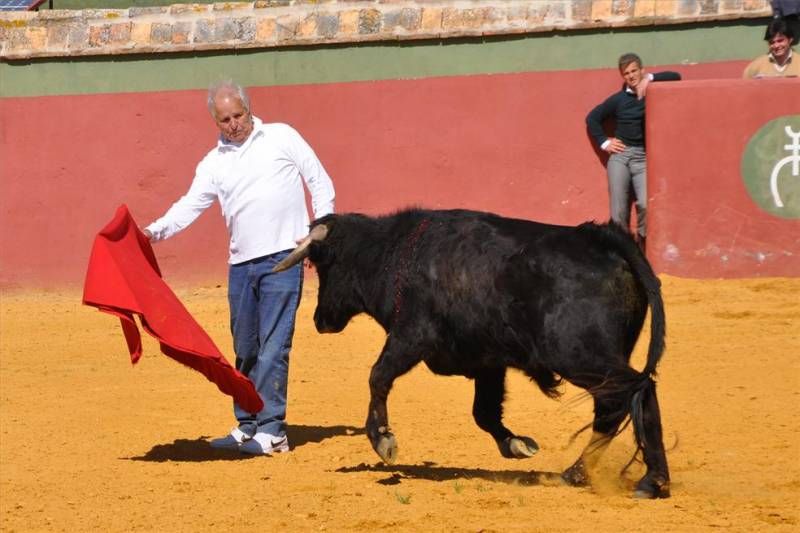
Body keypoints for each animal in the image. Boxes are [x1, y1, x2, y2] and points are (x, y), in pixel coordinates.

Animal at [274, 206, 668, 496]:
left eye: (321, 264)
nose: (320, 319)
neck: (395, 254)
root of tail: (602, 238)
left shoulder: (411, 337)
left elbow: (378, 376)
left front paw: (383, 440)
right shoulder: (488, 364)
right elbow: (484, 412)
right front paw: (516, 444)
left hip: (578, 354)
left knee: (629, 392)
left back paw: (641, 479)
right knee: (621, 401)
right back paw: (597, 475)